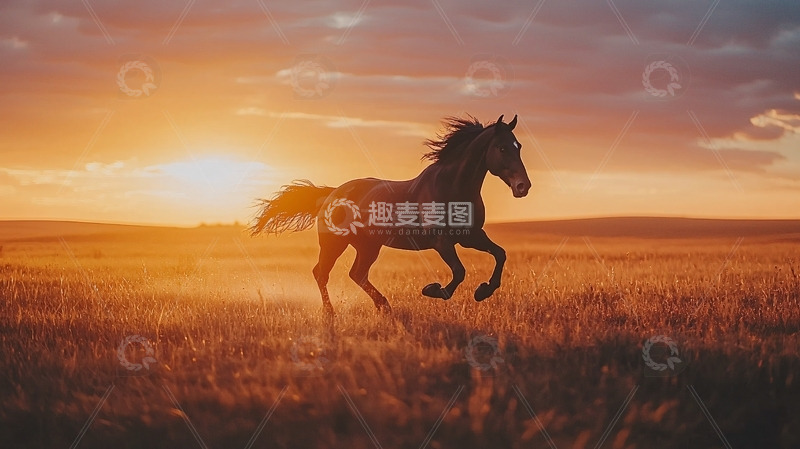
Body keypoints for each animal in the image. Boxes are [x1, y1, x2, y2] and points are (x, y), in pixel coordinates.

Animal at [250, 114, 531, 317]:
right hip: (334, 243)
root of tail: (331, 193)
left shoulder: (471, 236)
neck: (453, 187)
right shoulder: (441, 242)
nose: (523, 186)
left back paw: (383, 306)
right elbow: (459, 272)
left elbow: (500, 254)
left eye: (518, 146)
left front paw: (483, 291)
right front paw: (432, 289)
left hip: (368, 246)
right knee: (322, 273)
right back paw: (331, 314)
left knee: (357, 274)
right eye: (501, 148)